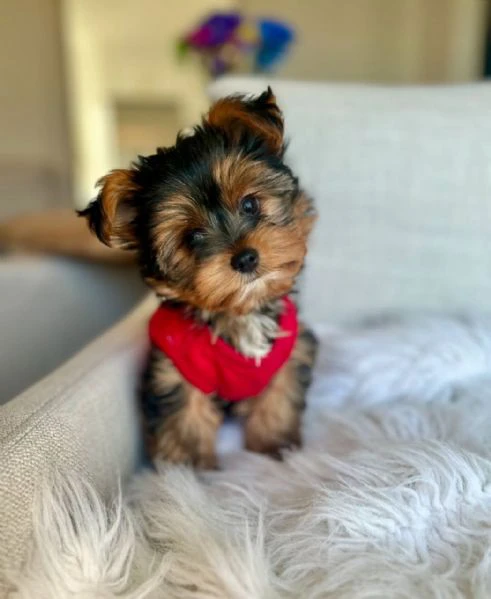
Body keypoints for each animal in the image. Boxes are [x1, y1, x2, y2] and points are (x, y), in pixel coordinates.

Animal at [80, 89, 320, 472]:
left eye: (250, 205)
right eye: (192, 237)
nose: (245, 258)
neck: (238, 312)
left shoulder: (288, 353)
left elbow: (278, 399)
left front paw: (275, 448)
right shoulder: (178, 369)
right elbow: (185, 417)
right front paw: (188, 472)